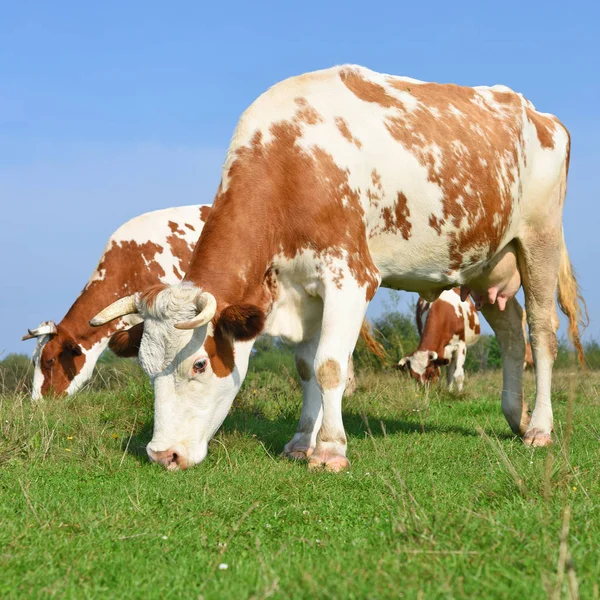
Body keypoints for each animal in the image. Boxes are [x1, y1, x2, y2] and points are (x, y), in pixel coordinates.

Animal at [92, 63, 584, 472]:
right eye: (145, 368)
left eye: (197, 365)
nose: (163, 455)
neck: (291, 161)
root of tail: (540, 114)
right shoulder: (299, 285)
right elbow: (306, 368)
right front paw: (299, 443)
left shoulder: (351, 276)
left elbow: (330, 365)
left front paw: (329, 449)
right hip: (487, 264)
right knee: (512, 330)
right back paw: (516, 417)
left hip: (539, 240)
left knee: (541, 332)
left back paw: (540, 428)